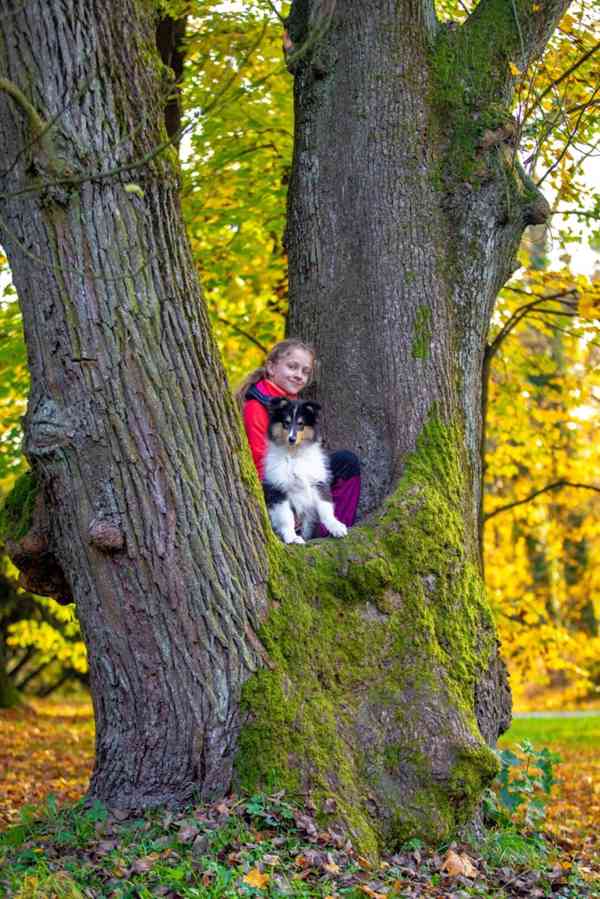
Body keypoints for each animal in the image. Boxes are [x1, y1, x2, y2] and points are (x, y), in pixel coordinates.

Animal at [262, 400, 346, 540]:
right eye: (286, 423)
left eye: (301, 423)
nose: (291, 439)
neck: (294, 454)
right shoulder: (278, 489)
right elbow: (286, 516)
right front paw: (292, 537)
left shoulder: (318, 482)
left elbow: (325, 507)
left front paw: (336, 527)